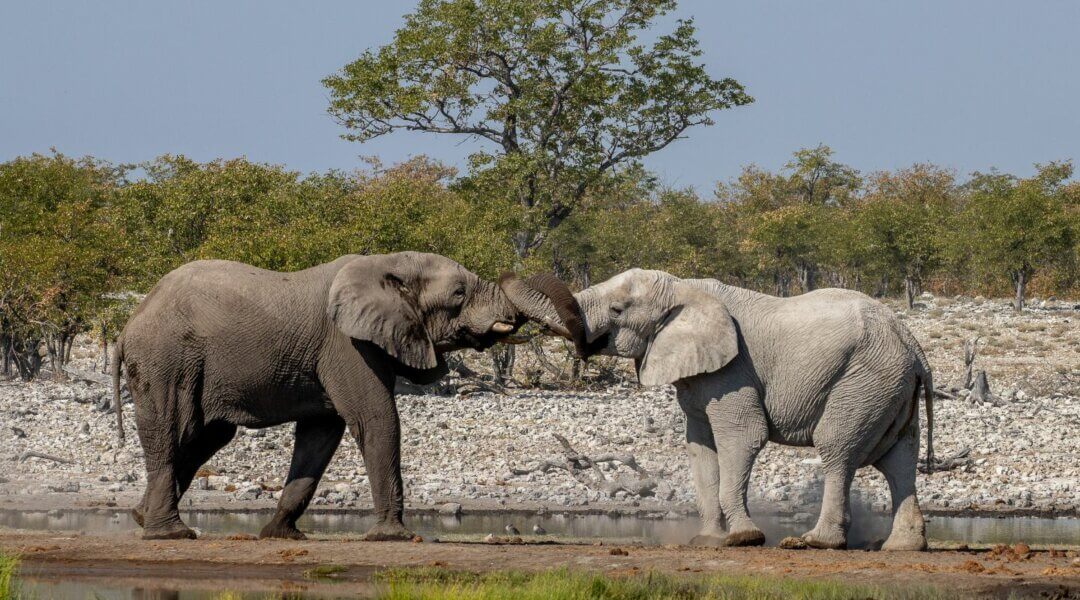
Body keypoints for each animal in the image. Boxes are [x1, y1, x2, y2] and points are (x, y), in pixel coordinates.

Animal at [111, 252, 559, 541]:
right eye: (459, 295)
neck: (389, 263)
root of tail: (130, 321)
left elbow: (321, 435)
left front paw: (282, 536)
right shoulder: (347, 345)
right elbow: (376, 418)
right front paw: (395, 538)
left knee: (205, 437)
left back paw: (140, 517)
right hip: (166, 358)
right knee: (173, 429)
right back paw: (171, 534)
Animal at [517, 269, 935, 551]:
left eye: (618, 309)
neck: (682, 287)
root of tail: (914, 347)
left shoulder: (732, 370)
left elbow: (743, 437)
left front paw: (744, 538)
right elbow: (700, 448)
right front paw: (707, 540)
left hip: (863, 380)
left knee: (837, 450)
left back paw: (816, 542)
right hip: (890, 387)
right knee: (900, 460)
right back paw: (903, 547)